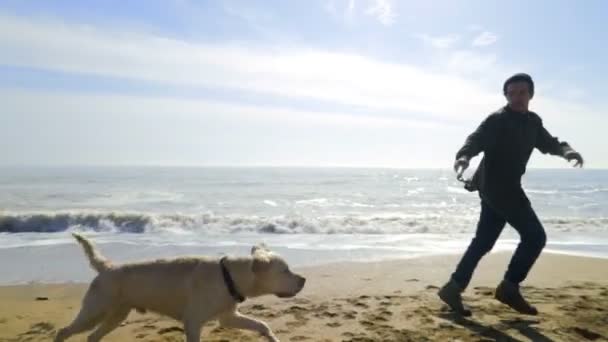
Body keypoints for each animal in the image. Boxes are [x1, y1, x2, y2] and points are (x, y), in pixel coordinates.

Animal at [54, 232, 306, 342]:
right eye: (285, 270)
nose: (304, 280)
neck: (229, 277)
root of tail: (107, 267)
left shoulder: (228, 317)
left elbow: (262, 324)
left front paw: (272, 337)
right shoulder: (193, 322)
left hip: (116, 314)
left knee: (92, 337)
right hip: (95, 311)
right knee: (63, 331)